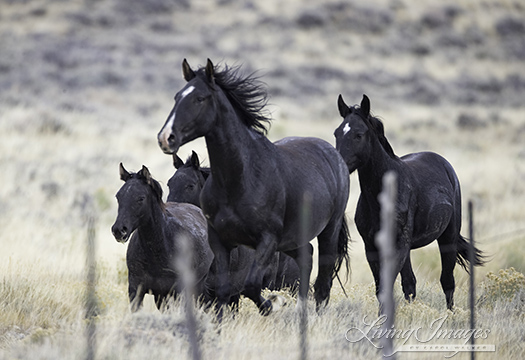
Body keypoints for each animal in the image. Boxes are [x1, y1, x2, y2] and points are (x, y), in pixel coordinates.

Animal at [158, 59, 350, 316]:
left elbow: (250, 286)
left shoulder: (267, 241)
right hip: (292, 239)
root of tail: (335, 155)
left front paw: (272, 304)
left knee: (323, 282)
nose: (166, 137)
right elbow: (223, 291)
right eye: (177, 96)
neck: (240, 180)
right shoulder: (220, 241)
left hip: (328, 231)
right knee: (307, 257)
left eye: (200, 98)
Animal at [334, 95, 486, 310]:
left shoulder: (399, 246)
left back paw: (450, 313)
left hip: (447, 237)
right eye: (337, 133)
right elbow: (384, 289)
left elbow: (387, 288)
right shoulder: (371, 247)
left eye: (358, 134)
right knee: (410, 283)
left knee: (447, 281)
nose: (338, 163)